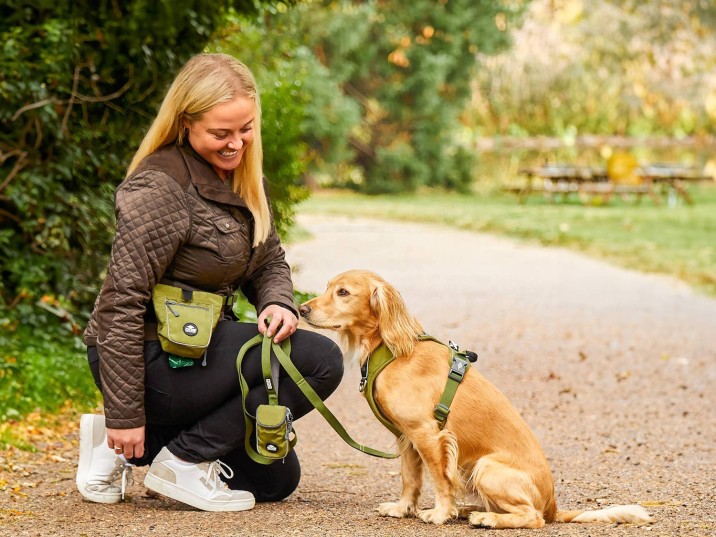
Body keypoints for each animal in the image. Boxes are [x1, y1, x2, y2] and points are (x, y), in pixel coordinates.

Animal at [300, 270, 652, 528]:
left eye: (343, 292)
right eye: (328, 287)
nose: (302, 309)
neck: (393, 350)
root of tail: (553, 505)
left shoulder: (429, 435)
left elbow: (440, 480)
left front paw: (440, 513)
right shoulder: (406, 438)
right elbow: (410, 479)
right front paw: (403, 509)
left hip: (486, 467)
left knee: (533, 518)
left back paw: (486, 518)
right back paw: (471, 509)